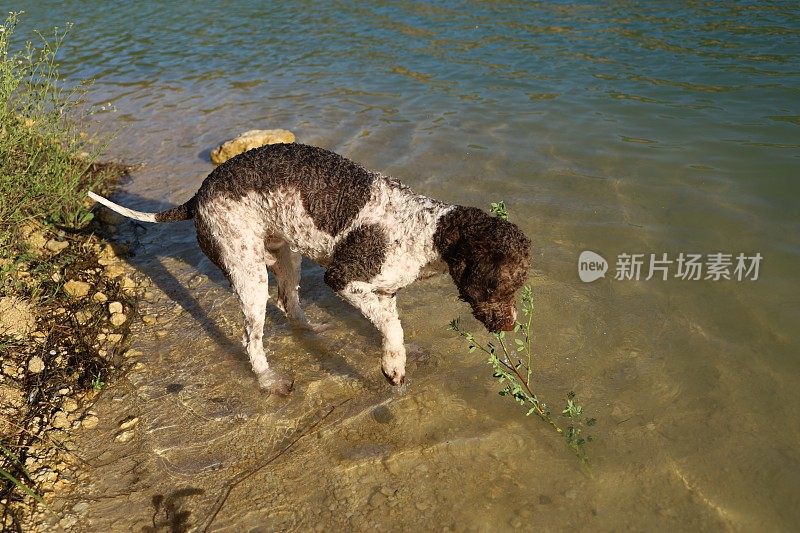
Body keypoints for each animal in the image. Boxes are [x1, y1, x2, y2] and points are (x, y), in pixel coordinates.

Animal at [89, 143, 532, 392]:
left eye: (517, 285)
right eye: (499, 285)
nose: (510, 326)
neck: (426, 230)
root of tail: (199, 194)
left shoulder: (384, 292)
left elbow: (392, 328)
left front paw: (401, 357)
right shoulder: (345, 280)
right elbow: (393, 330)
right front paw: (393, 369)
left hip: (286, 255)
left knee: (289, 303)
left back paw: (311, 330)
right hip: (250, 272)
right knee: (252, 339)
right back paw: (268, 382)